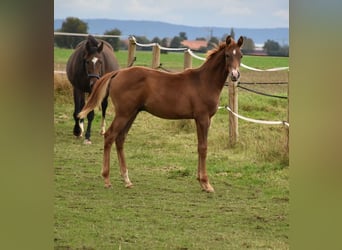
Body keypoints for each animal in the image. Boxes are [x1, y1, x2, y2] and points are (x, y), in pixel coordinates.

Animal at [79, 35, 243, 191]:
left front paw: (201, 181)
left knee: (120, 139)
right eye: (227, 55)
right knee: (109, 136)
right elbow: (203, 148)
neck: (204, 81)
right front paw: (206, 183)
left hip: (132, 113)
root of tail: (118, 72)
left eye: (240, 55)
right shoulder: (203, 118)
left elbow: (199, 146)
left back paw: (127, 180)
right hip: (123, 114)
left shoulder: (201, 119)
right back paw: (107, 179)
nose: (235, 75)